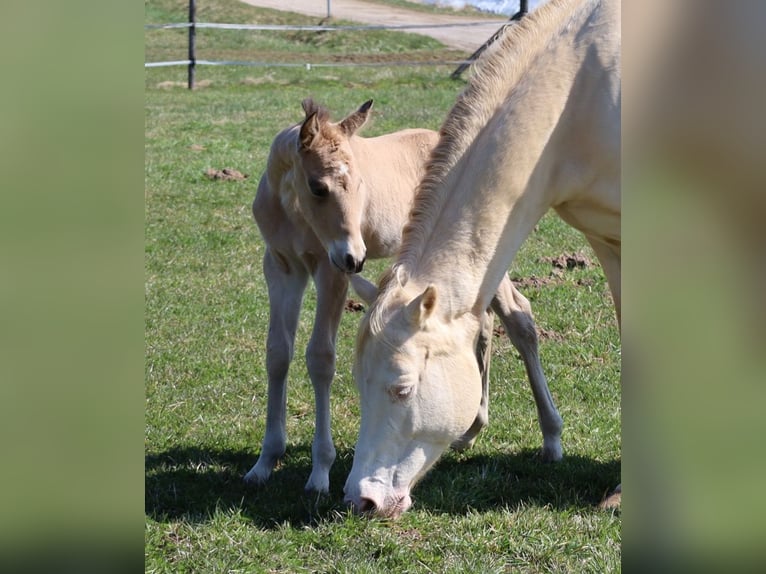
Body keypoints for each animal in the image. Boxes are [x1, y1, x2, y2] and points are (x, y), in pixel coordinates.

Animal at [246, 98, 564, 494]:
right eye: (318, 187)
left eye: (361, 184)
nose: (356, 258)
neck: (292, 212)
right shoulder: (280, 265)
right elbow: (278, 353)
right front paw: (265, 462)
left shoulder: (330, 271)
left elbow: (320, 358)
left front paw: (319, 473)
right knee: (483, 322)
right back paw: (472, 429)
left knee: (519, 317)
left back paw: (551, 438)